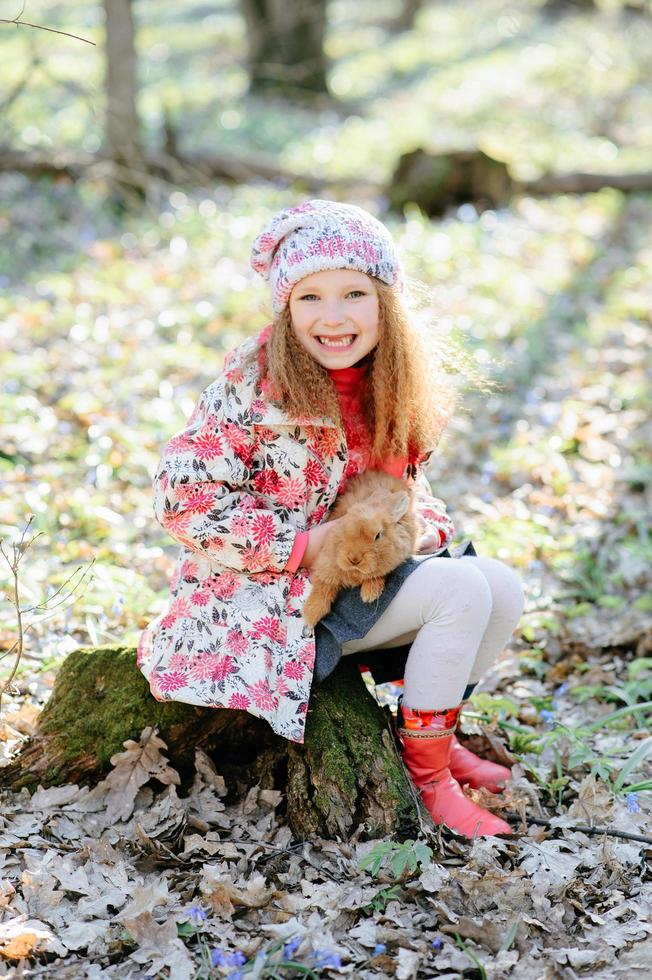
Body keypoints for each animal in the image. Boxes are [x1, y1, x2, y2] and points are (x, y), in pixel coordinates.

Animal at [304, 474, 420, 628]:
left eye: (378, 535)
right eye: (344, 528)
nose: (354, 559)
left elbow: (376, 574)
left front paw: (369, 595)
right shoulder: (326, 565)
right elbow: (323, 586)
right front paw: (310, 614)